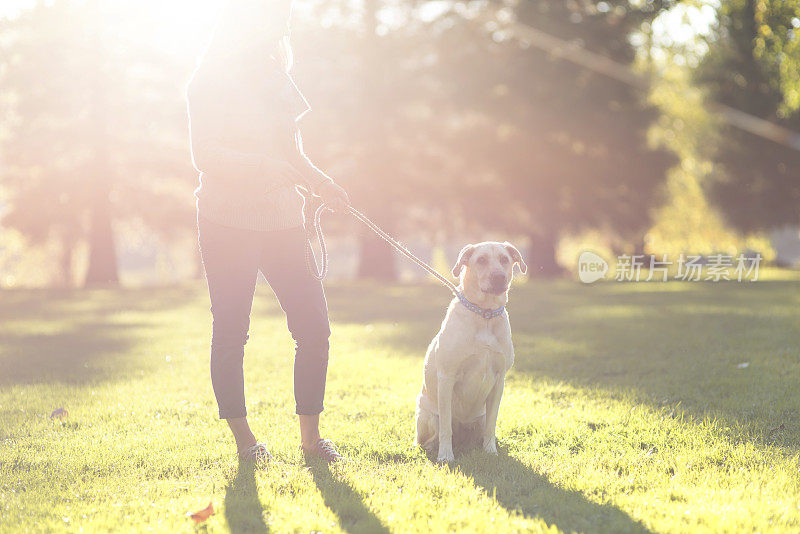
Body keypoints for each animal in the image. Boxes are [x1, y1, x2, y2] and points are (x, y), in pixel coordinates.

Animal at [416, 241, 528, 462]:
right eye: (481, 260)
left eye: (504, 259)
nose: (499, 277)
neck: (484, 314)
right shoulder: (447, 376)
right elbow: (446, 428)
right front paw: (446, 456)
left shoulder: (499, 381)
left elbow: (492, 425)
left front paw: (490, 451)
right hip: (427, 415)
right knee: (432, 435)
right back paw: (433, 447)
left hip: (479, 418)